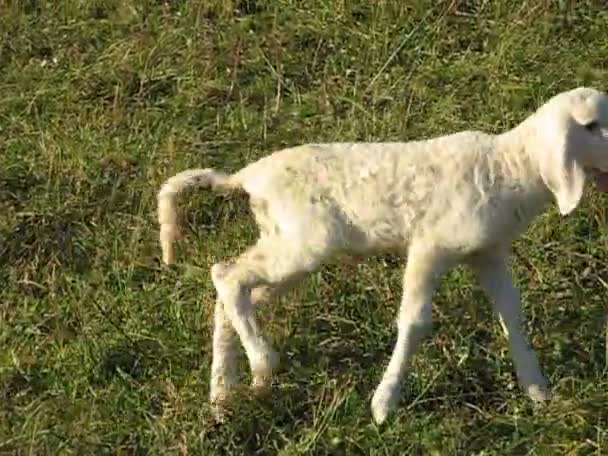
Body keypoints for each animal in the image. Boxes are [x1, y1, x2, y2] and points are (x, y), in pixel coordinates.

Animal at [158, 86, 608, 424]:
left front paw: (537, 390)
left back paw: (224, 393)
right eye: (589, 126)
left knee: (233, 292)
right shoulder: (430, 245)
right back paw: (263, 363)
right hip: (303, 243)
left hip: (284, 243)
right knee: (226, 274)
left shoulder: (489, 252)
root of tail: (247, 178)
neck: (509, 166)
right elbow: (415, 322)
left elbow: (512, 315)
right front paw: (384, 403)